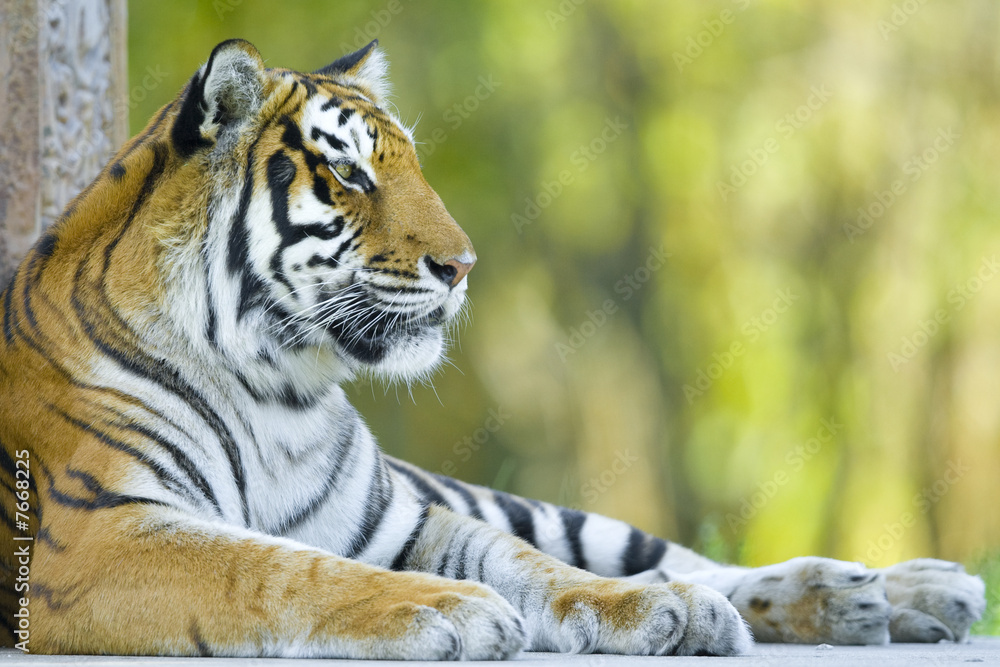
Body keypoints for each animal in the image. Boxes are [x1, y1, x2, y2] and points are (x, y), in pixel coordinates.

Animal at [0, 39, 986, 658]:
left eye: (412, 166)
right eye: (348, 172)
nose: (463, 265)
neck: (280, 385)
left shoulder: (406, 517)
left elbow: (529, 561)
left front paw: (649, 608)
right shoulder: (96, 536)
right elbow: (275, 565)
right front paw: (444, 609)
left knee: (673, 554)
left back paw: (897, 590)